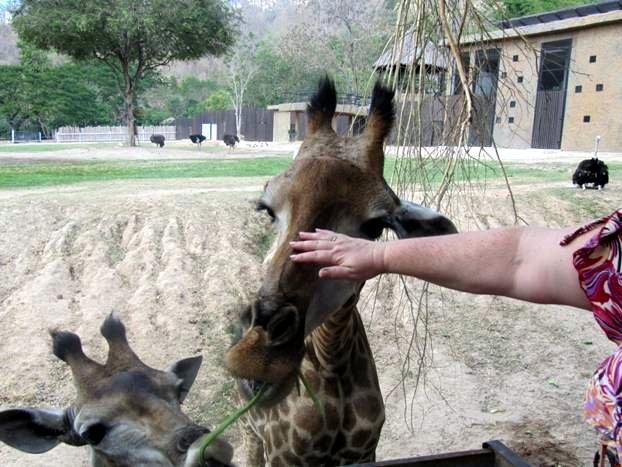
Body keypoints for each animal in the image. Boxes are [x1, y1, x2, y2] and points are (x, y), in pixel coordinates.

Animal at [225, 77, 458, 467]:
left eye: (377, 226)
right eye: (268, 210)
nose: (257, 357)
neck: (331, 360)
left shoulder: (364, 453)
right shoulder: (285, 456)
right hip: (249, 430)